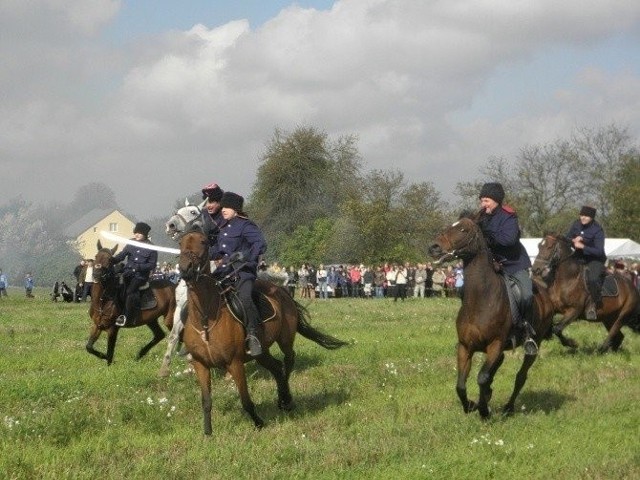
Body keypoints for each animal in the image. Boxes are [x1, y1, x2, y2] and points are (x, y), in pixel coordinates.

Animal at [179, 229, 350, 436]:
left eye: (203, 242)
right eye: (180, 243)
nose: (185, 269)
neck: (206, 318)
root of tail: (282, 291)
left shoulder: (235, 363)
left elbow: (245, 400)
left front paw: (259, 423)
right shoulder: (200, 365)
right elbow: (206, 402)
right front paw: (208, 433)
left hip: (285, 339)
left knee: (288, 360)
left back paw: (286, 399)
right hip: (260, 352)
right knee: (276, 366)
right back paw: (282, 399)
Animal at [428, 216, 556, 418]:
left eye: (463, 230)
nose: (434, 247)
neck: (481, 300)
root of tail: (544, 292)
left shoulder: (495, 344)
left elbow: (482, 377)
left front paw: (483, 410)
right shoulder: (465, 347)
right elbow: (461, 384)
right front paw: (471, 405)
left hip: (534, 344)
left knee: (520, 376)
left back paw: (508, 408)